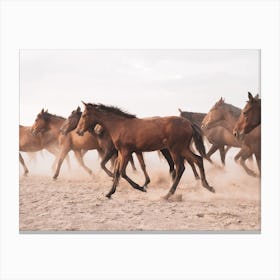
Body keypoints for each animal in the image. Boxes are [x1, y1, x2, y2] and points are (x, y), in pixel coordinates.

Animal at [76, 102, 214, 199]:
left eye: (84, 115)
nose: (78, 131)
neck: (120, 126)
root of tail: (188, 123)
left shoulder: (126, 152)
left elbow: (122, 172)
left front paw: (141, 187)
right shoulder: (121, 152)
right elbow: (117, 171)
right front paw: (110, 192)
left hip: (175, 149)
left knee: (180, 167)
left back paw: (167, 194)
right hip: (182, 148)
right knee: (198, 159)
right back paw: (208, 186)